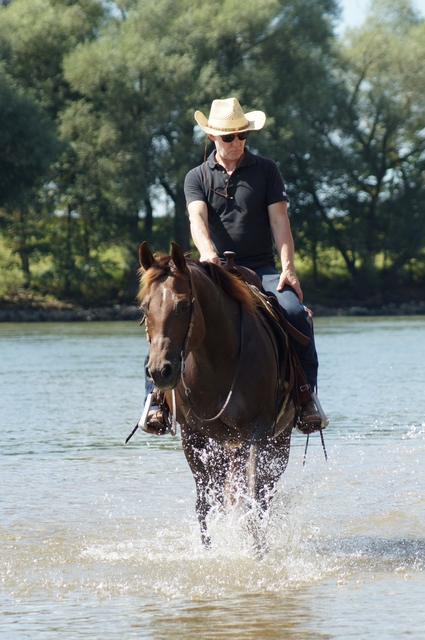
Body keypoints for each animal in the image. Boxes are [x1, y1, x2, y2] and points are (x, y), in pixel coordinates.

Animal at [137, 242, 294, 548]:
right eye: (144, 306)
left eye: (184, 304)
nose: (160, 371)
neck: (218, 361)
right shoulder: (193, 435)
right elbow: (206, 502)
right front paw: (210, 549)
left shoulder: (256, 430)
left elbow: (253, 494)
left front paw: (257, 549)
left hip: (279, 440)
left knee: (265, 492)